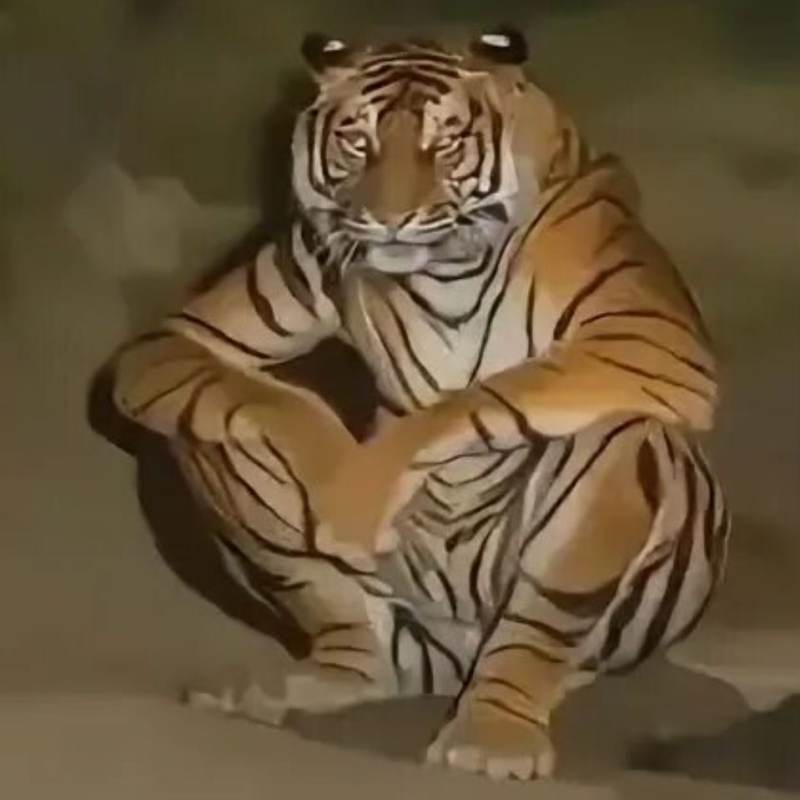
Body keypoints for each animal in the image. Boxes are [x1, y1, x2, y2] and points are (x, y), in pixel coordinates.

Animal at [109, 28, 729, 780]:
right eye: (358, 140)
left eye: (446, 142)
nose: (390, 220)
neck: (445, 271)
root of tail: (451, 659)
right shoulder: (194, 332)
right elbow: (281, 399)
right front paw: (342, 485)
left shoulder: (651, 338)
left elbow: (483, 395)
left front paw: (370, 479)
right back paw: (301, 685)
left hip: (593, 510)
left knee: (539, 623)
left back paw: (494, 737)